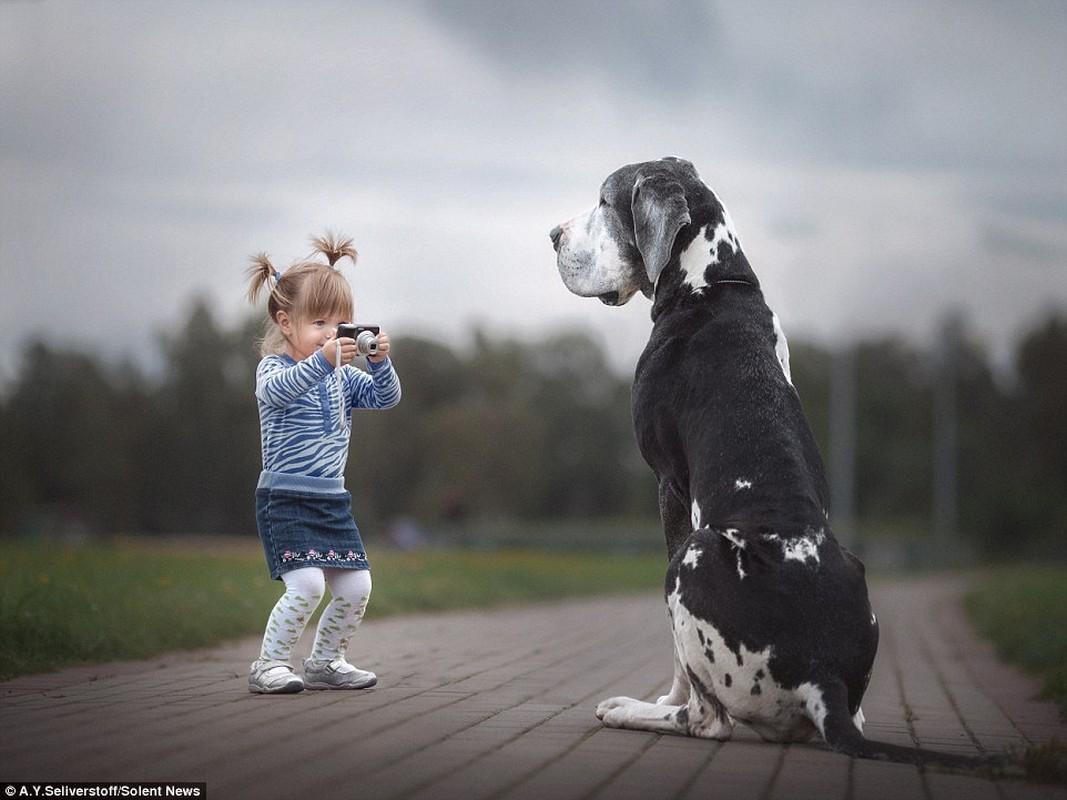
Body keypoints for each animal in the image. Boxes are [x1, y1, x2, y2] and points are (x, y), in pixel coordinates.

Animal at [550, 157, 990, 772]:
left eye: (606, 202)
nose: (553, 235)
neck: (712, 285)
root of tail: (821, 677)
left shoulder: (669, 485)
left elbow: (679, 660)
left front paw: (663, 698)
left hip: (693, 554)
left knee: (709, 719)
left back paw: (631, 709)